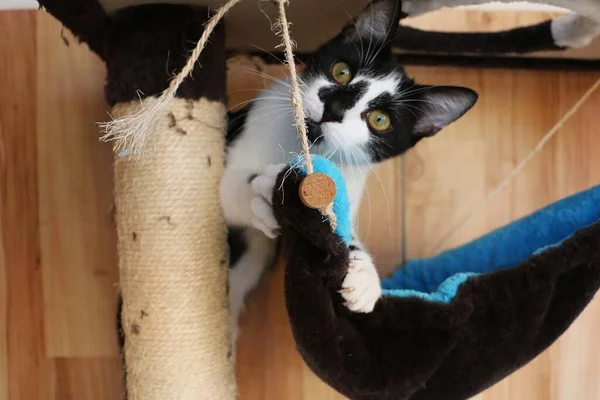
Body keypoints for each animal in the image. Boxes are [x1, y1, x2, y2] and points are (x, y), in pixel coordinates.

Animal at [224, 0, 478, 344]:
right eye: (341, 71)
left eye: (380, 120)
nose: (334, 108)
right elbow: (226, 187)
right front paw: (262, 192)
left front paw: (364, 276)